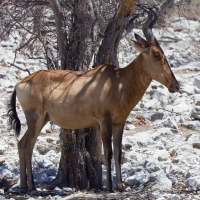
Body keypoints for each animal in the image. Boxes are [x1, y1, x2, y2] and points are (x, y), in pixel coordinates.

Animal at [7, 7, 180, 193]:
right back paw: (28, 186)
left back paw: (28, 185)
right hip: (35, 119)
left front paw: (120, 186)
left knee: (25, 145)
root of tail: (20, 83)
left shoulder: (119, 123)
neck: (117, 80)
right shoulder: (104, 121)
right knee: (25, 145)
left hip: (43, 120)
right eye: (156, 53)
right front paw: (109, 187)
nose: (175, 85)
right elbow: (107, 153)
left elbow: (118, 153)